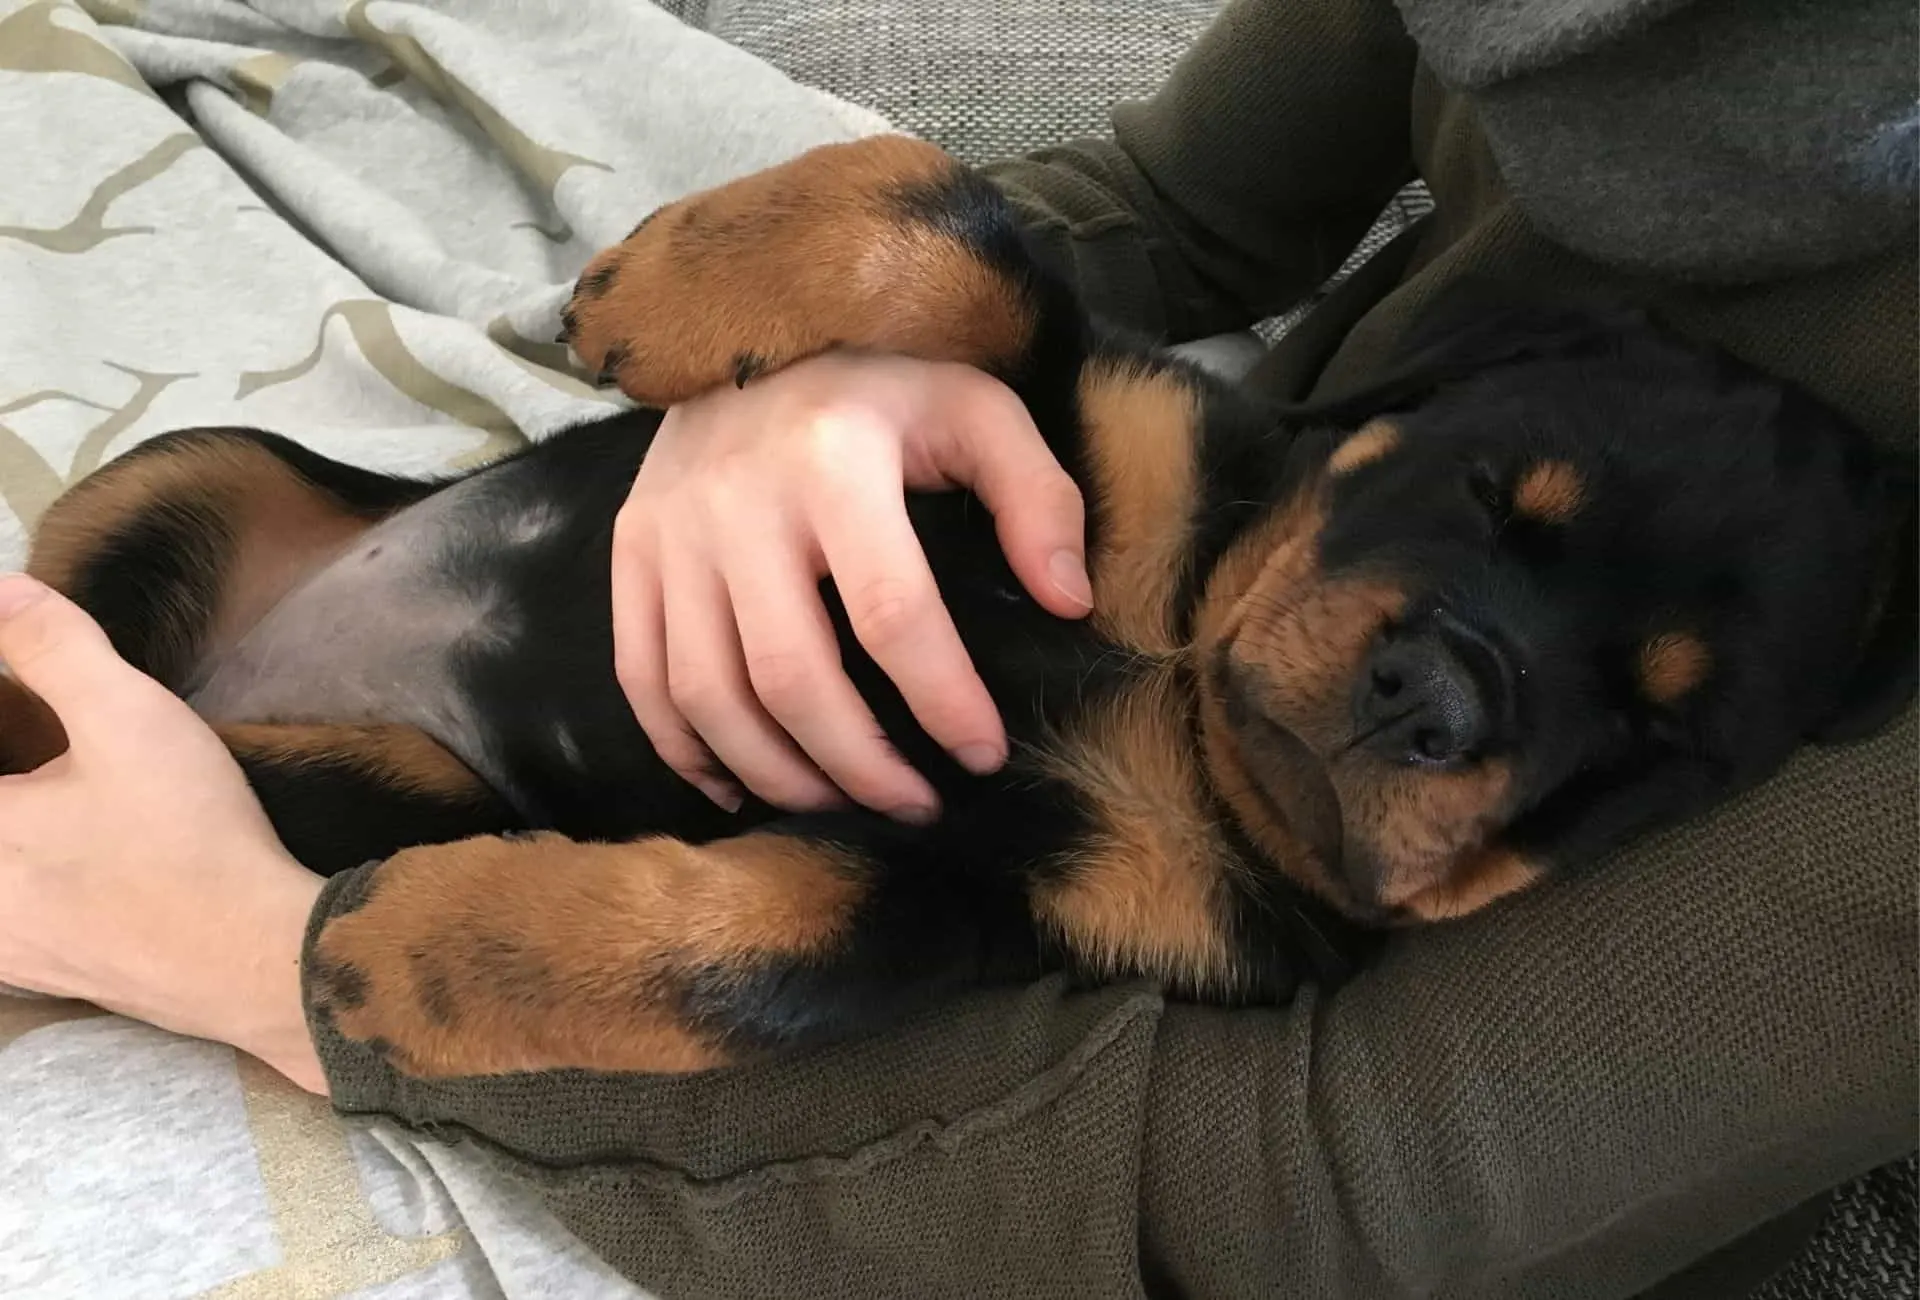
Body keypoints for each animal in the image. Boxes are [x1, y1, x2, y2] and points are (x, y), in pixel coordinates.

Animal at [7, 137, 1912, 1083]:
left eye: (1660, 737)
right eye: (1486, 489)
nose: (1437, 698)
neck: (1171, 677)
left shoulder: (981, 914)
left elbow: (758, 972)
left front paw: (406, 962)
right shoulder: (1080, 423)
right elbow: (962, 234)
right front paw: (665, 280)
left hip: (355, 765)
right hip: (183, 480)